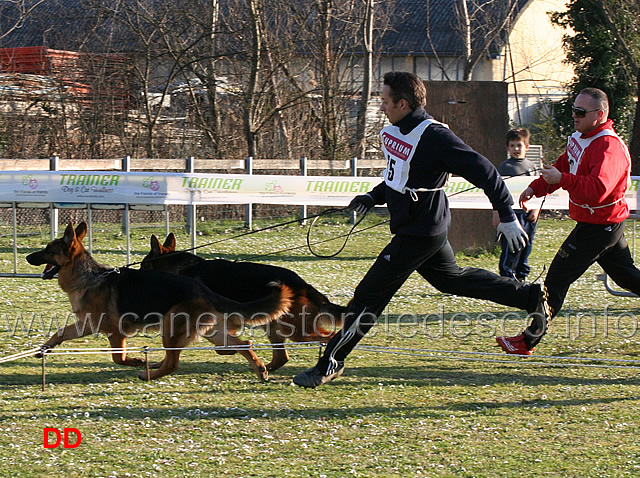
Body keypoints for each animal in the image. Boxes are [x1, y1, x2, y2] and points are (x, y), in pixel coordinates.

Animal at [25, 222, 294, 382]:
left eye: (47, 250)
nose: (28, 257)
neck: (89, 277)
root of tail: (204, 290)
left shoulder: (112, 331)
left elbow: (118, 358)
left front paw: (136, 361)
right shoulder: (85, 325)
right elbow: (60, 332)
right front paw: (44, 349)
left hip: (171, 329)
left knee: (173, 363)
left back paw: (149, 374)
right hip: (211, 333)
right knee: (244, 344)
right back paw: (261, 370)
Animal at [142, 233, 348, 372]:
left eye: (143, 266)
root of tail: (304, 285)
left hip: (297, 331)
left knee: (329, 337)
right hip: (274, 326)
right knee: (282, 357)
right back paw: (263, 369)